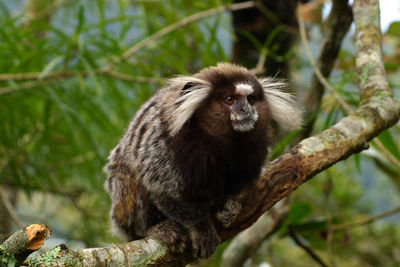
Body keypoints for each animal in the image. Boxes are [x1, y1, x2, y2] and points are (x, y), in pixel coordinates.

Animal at [104, 63, 302, 260]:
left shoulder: (255, 152)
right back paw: (153, 228)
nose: (246, 110)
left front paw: (230, 204)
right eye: (230, 99)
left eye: (251, 99)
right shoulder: (163, 147)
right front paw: (201, 227)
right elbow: (165, 192)